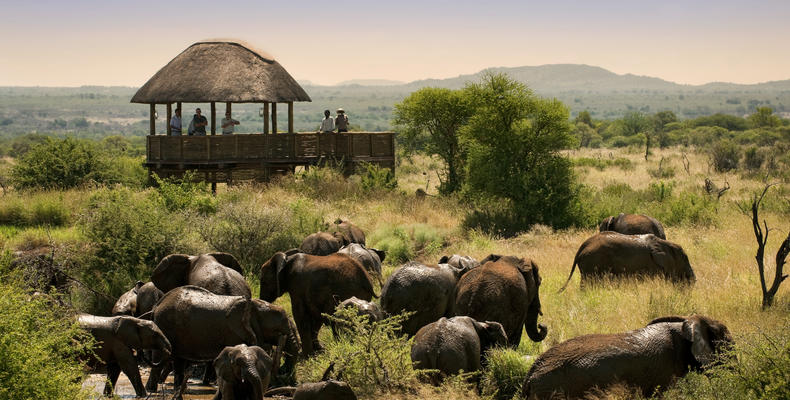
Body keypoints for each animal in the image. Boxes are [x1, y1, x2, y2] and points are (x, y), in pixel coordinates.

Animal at [149, 286, 300, 398]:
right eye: (277, 330)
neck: (253, 305)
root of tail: (158, 304)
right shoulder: (235, 332)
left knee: (179, 360)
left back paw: (180, 390)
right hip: (164, 324)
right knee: (159, 356)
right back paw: (152, 390)